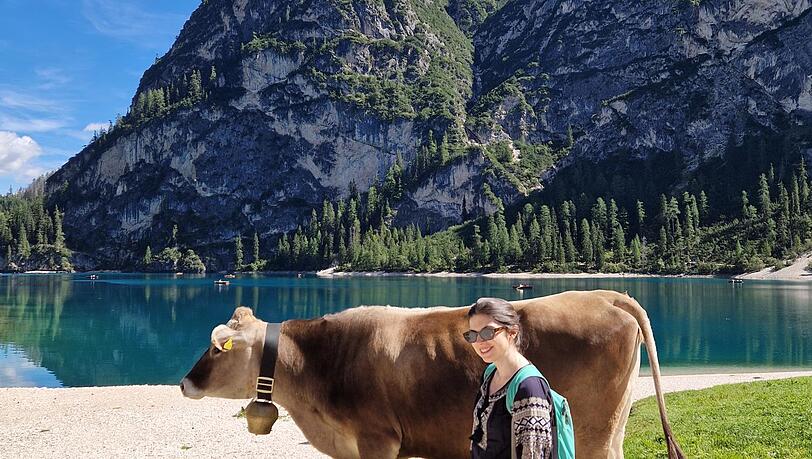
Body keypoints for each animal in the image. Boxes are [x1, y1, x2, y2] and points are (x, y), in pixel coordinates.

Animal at [181, 289, 684, 458]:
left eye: (214, 347)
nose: (184, 383)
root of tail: (606, 294)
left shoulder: (378, 440)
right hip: (612, 429)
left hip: (594, 434)